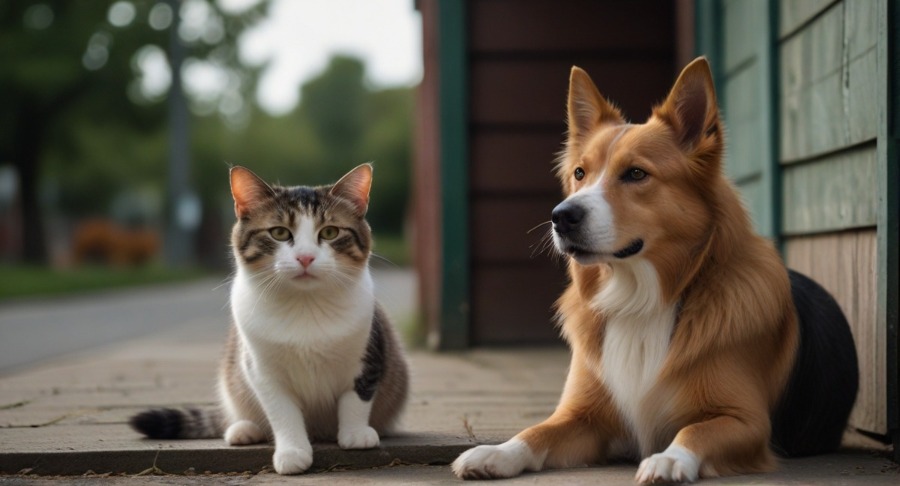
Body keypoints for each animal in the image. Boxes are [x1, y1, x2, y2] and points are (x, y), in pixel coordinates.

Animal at [130, 163, 412, 474]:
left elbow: (356, 397)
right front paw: (292, 452)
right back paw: (243, 429)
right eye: (279, 232)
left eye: (329, 232)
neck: (305, 306)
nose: (305, 257)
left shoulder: (368, 354)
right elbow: (282, 412)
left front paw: (356, 433)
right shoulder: (261, 370)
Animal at [450, 57, 856, 482]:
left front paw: (670, 458)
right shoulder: (581, 416)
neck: (639, 297)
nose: (561, 217)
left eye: (636, 174)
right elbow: (536, 431)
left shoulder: (745, 420)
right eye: (579, 173)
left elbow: (694, 430)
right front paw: (495, 452)